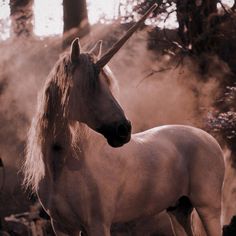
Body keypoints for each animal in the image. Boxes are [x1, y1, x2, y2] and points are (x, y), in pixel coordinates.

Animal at [24, 4, 225, 236]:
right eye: (88, 87)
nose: (123, 130)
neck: (62, 166)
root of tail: (209, 138)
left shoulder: (97, 225)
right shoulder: (63, 228)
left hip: (208, 209)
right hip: (178, 210)